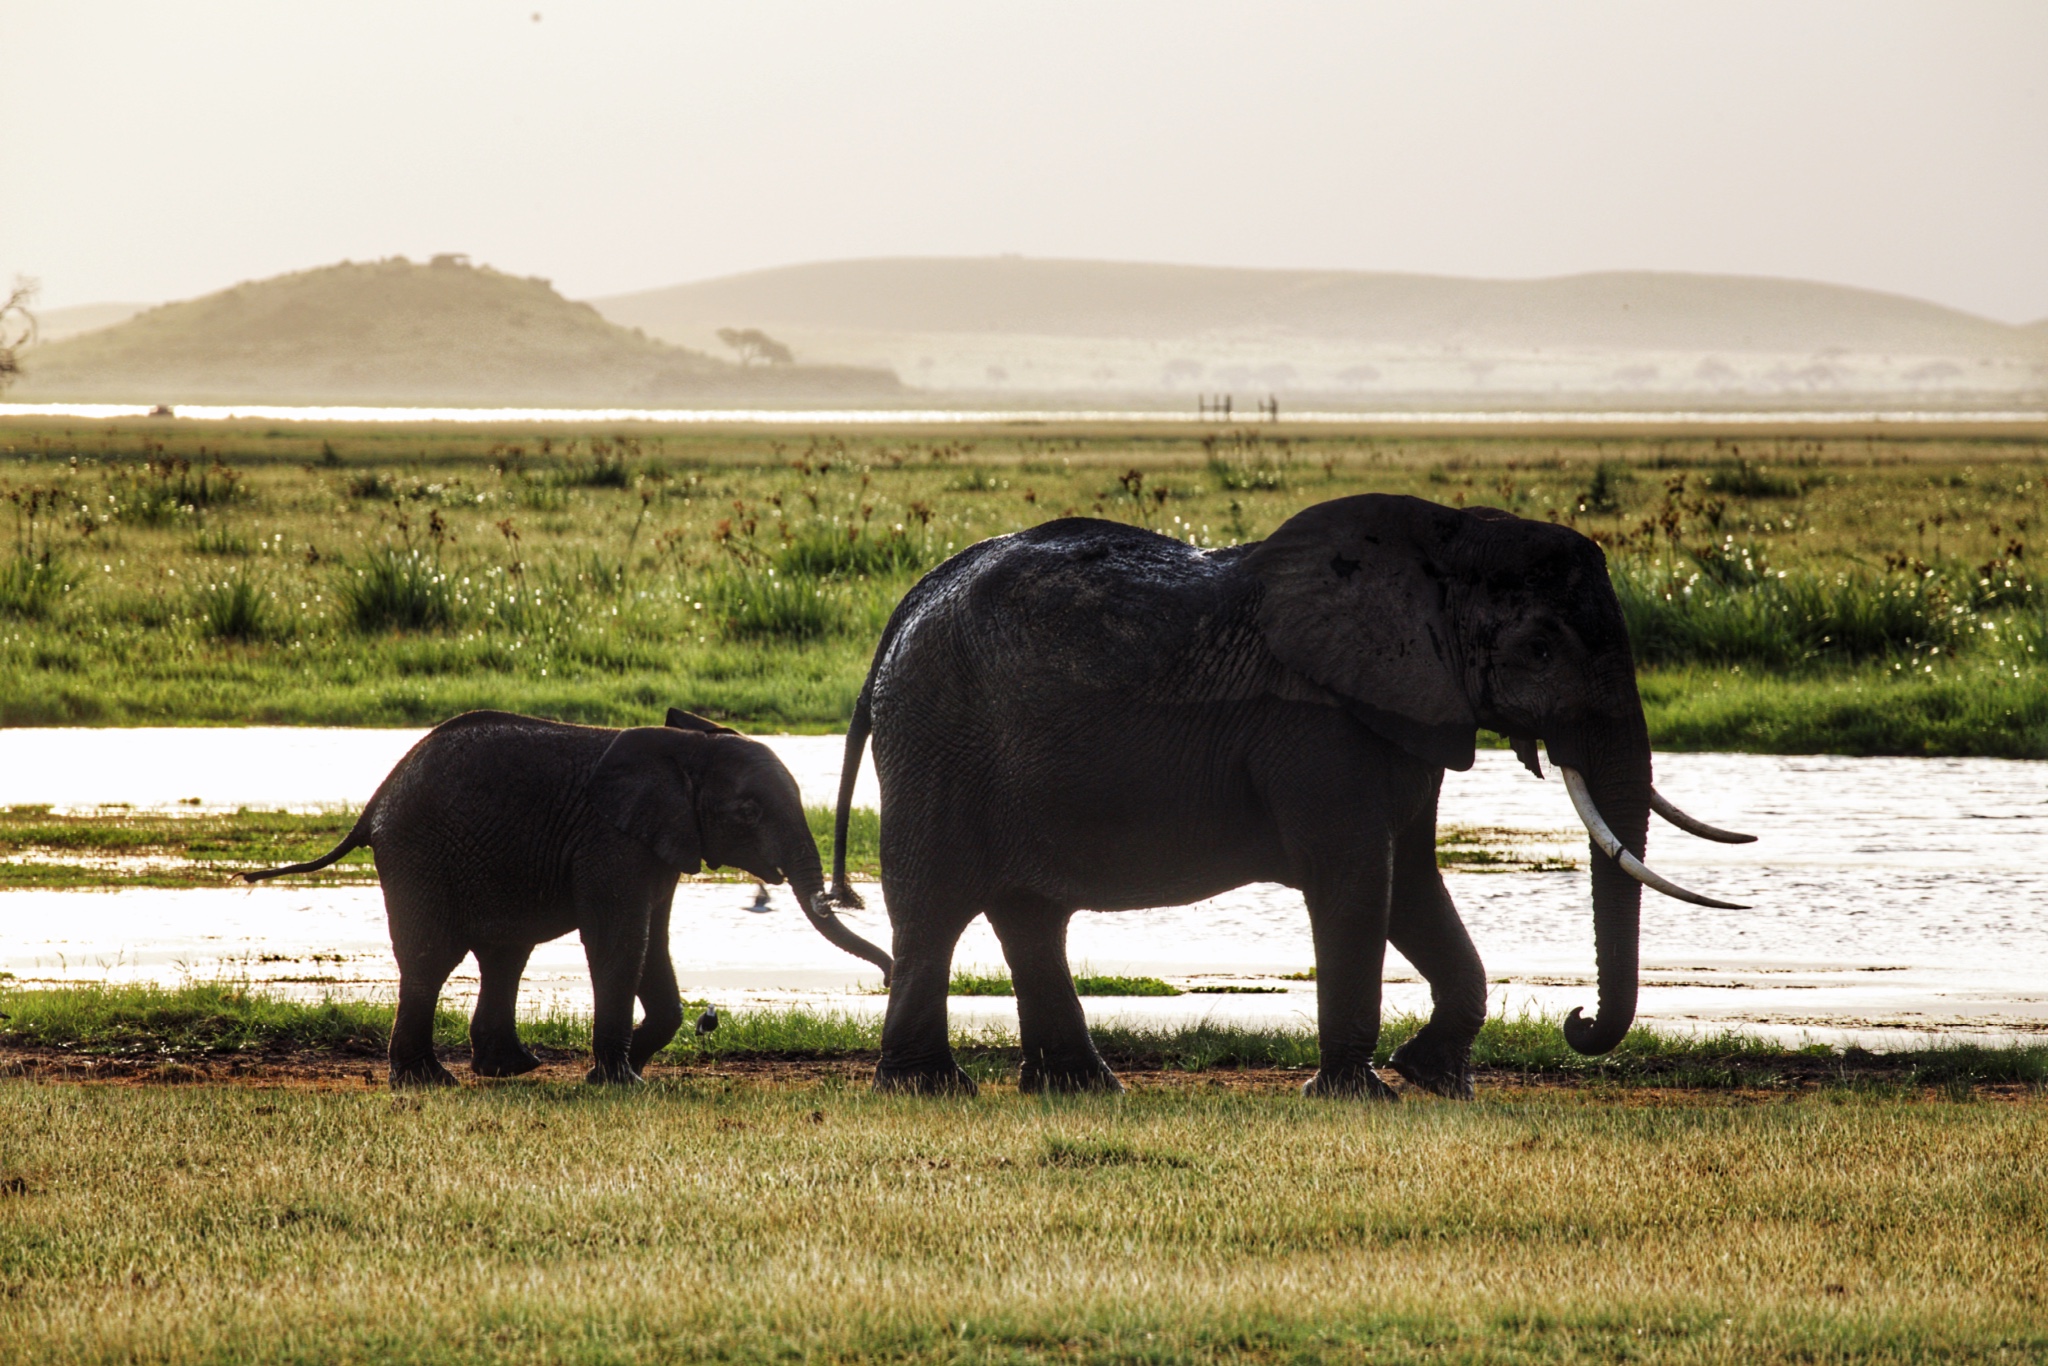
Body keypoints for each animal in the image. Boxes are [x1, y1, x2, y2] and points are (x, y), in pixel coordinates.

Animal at [247, 716, 888, 1089]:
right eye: (749, 812)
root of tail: (374, 806)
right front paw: (619, 1080)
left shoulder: (657, 844)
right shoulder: (611, 841)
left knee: (504, 955)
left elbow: (653, 939)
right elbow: (621, 938)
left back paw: (510, 1068)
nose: (886, 973)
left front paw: (626, 1069)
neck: (689, 749)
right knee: (433, 960)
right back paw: (428, 1081)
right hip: (419, 856)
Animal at [823, 493, 1753, 1097]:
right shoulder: (1317, 725)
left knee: (1029, 915)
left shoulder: (1408, 708)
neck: (1449, 544)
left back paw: (1083, 1089)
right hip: (940, 737)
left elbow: (1412, 884)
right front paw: (1357, 1094)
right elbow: (1358, 880)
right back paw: (930, 1090)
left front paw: (1435, 1081)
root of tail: (903, 612)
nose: (1578, 1023)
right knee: (937, 904)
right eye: (1541, 649)